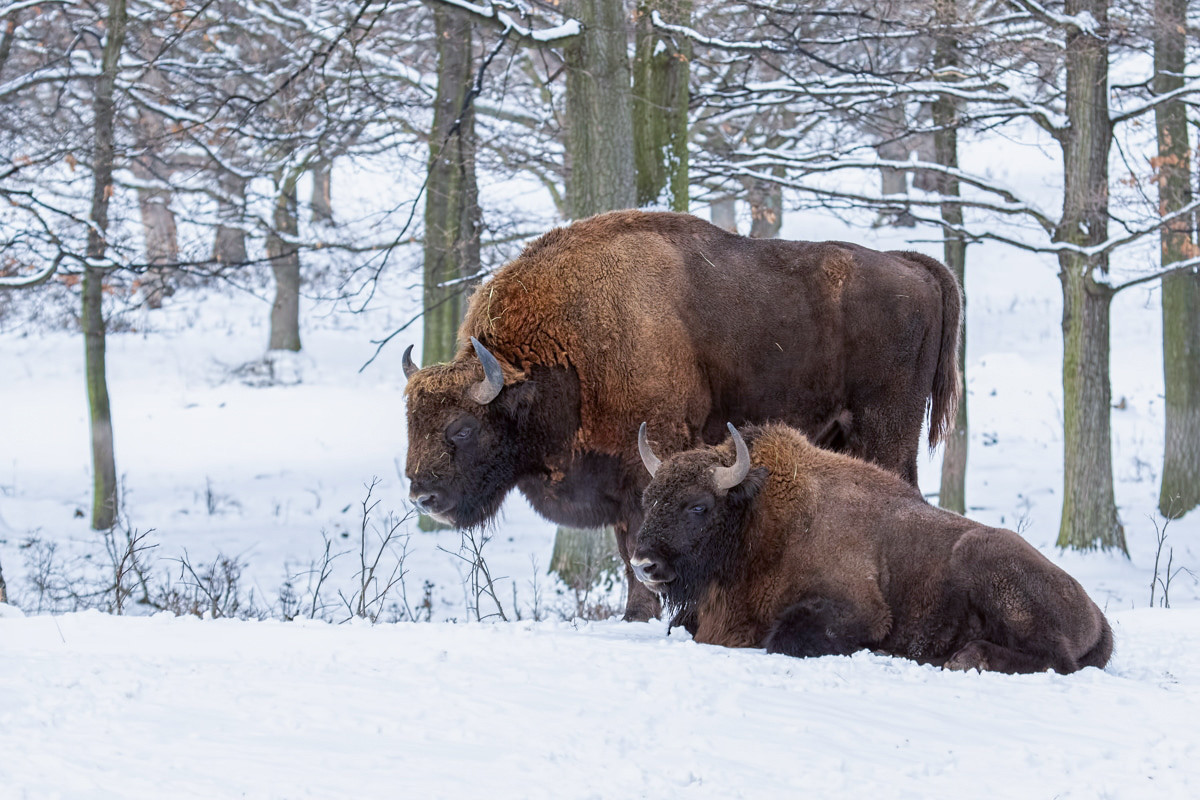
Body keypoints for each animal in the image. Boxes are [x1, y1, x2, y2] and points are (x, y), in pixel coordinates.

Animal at [408, 209, 960, 623]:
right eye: (411, 421)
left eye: (462, 427)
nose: (422, 496)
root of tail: (913, 266)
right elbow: (628, 545)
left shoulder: (647, 456)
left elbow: (637, 541)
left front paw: (642, 612)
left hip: (886, 429)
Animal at [633, 422, 1108, 671]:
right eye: (649, 498)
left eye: (698, 506)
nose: (643, 564)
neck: (762, 521)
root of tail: (1097, 614)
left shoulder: (861, 610)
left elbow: (784, 636)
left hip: (987, 564)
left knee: (1057, 659)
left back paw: (963, 657)